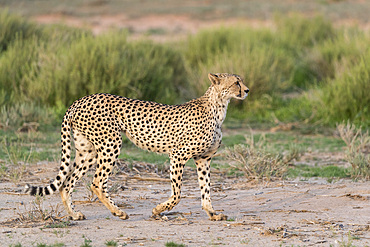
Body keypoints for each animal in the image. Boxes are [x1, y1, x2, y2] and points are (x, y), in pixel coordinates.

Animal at [25, 72, 249, 221]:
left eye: (241, 80)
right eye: (236, 82)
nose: (247, 90)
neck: (218, 107)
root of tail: (79, 100)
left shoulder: (203, 158)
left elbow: (206, 188)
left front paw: (212, 212)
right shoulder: (178, 155)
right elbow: (177, 194)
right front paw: (158, 210)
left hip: (87, 151)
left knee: (67, 183)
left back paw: (74, 214)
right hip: (111, 143)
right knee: (96, 182)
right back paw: (118, 211)